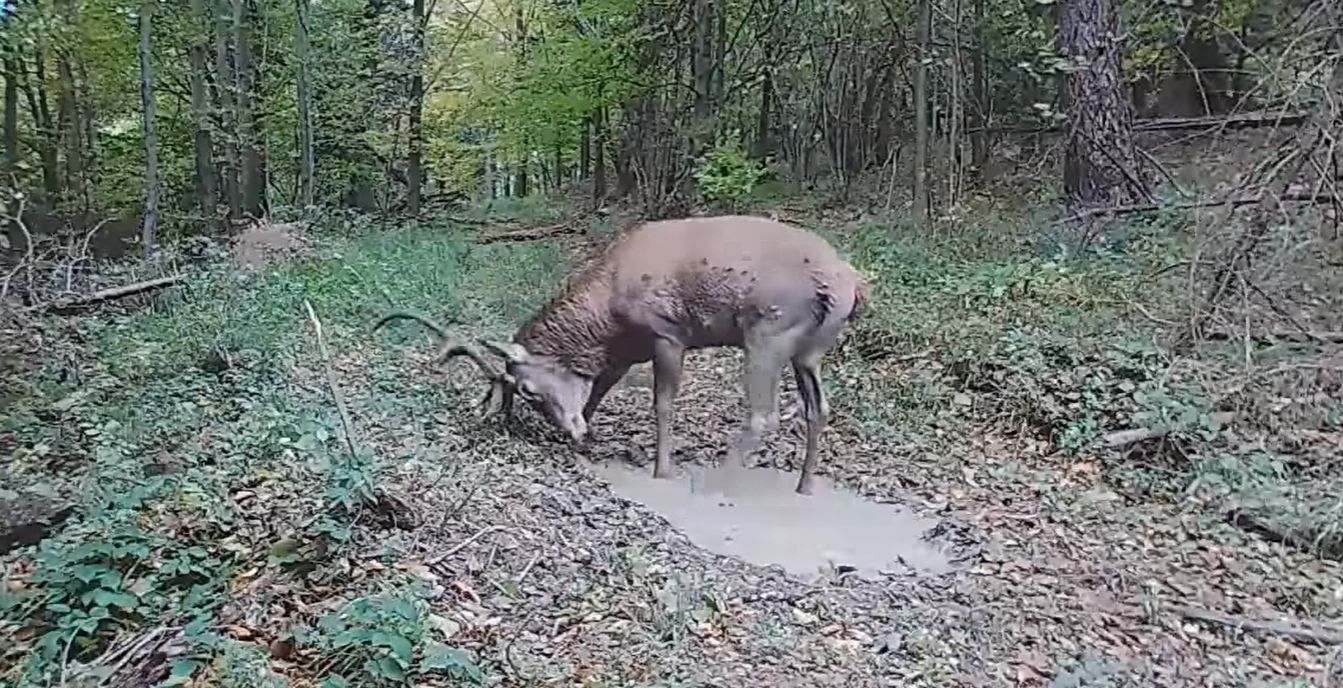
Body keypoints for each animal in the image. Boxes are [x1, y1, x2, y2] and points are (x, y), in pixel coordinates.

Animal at [373, 215, 864, 494]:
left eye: (527, 389)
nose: (572, 431)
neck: (605, 315)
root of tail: (850, 284)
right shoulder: (627, 349)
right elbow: (598, 390)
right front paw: (583, 437)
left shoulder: (667, 332)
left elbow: (662, 404)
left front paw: (662, 470)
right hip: (809, 350)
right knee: (819, 408)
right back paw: (805, 484)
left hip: (769, 331)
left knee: (764, 414)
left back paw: (720, 479)